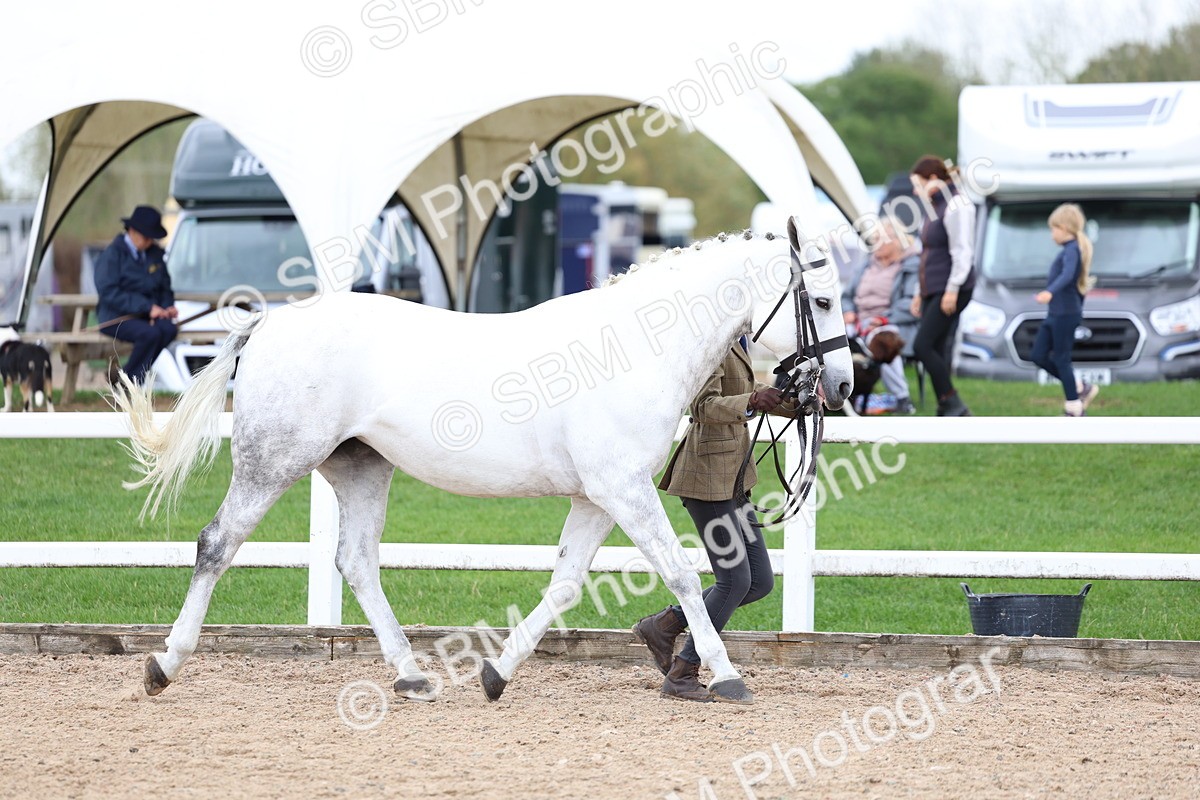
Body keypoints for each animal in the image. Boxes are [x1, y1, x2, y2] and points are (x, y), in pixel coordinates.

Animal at [115, 218, 853, 705]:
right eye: (820, 300)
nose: (841, 387)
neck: (631, 348)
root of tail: (269, 322)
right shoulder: (624, 490)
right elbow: (679, 574)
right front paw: (726, 676)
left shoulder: (596, 497)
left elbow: (564, 584)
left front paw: (497, 674)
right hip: (273, 462)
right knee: (218, 542)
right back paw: (164, 665)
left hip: (360, 467)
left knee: (356, 561)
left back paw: (411, 675)